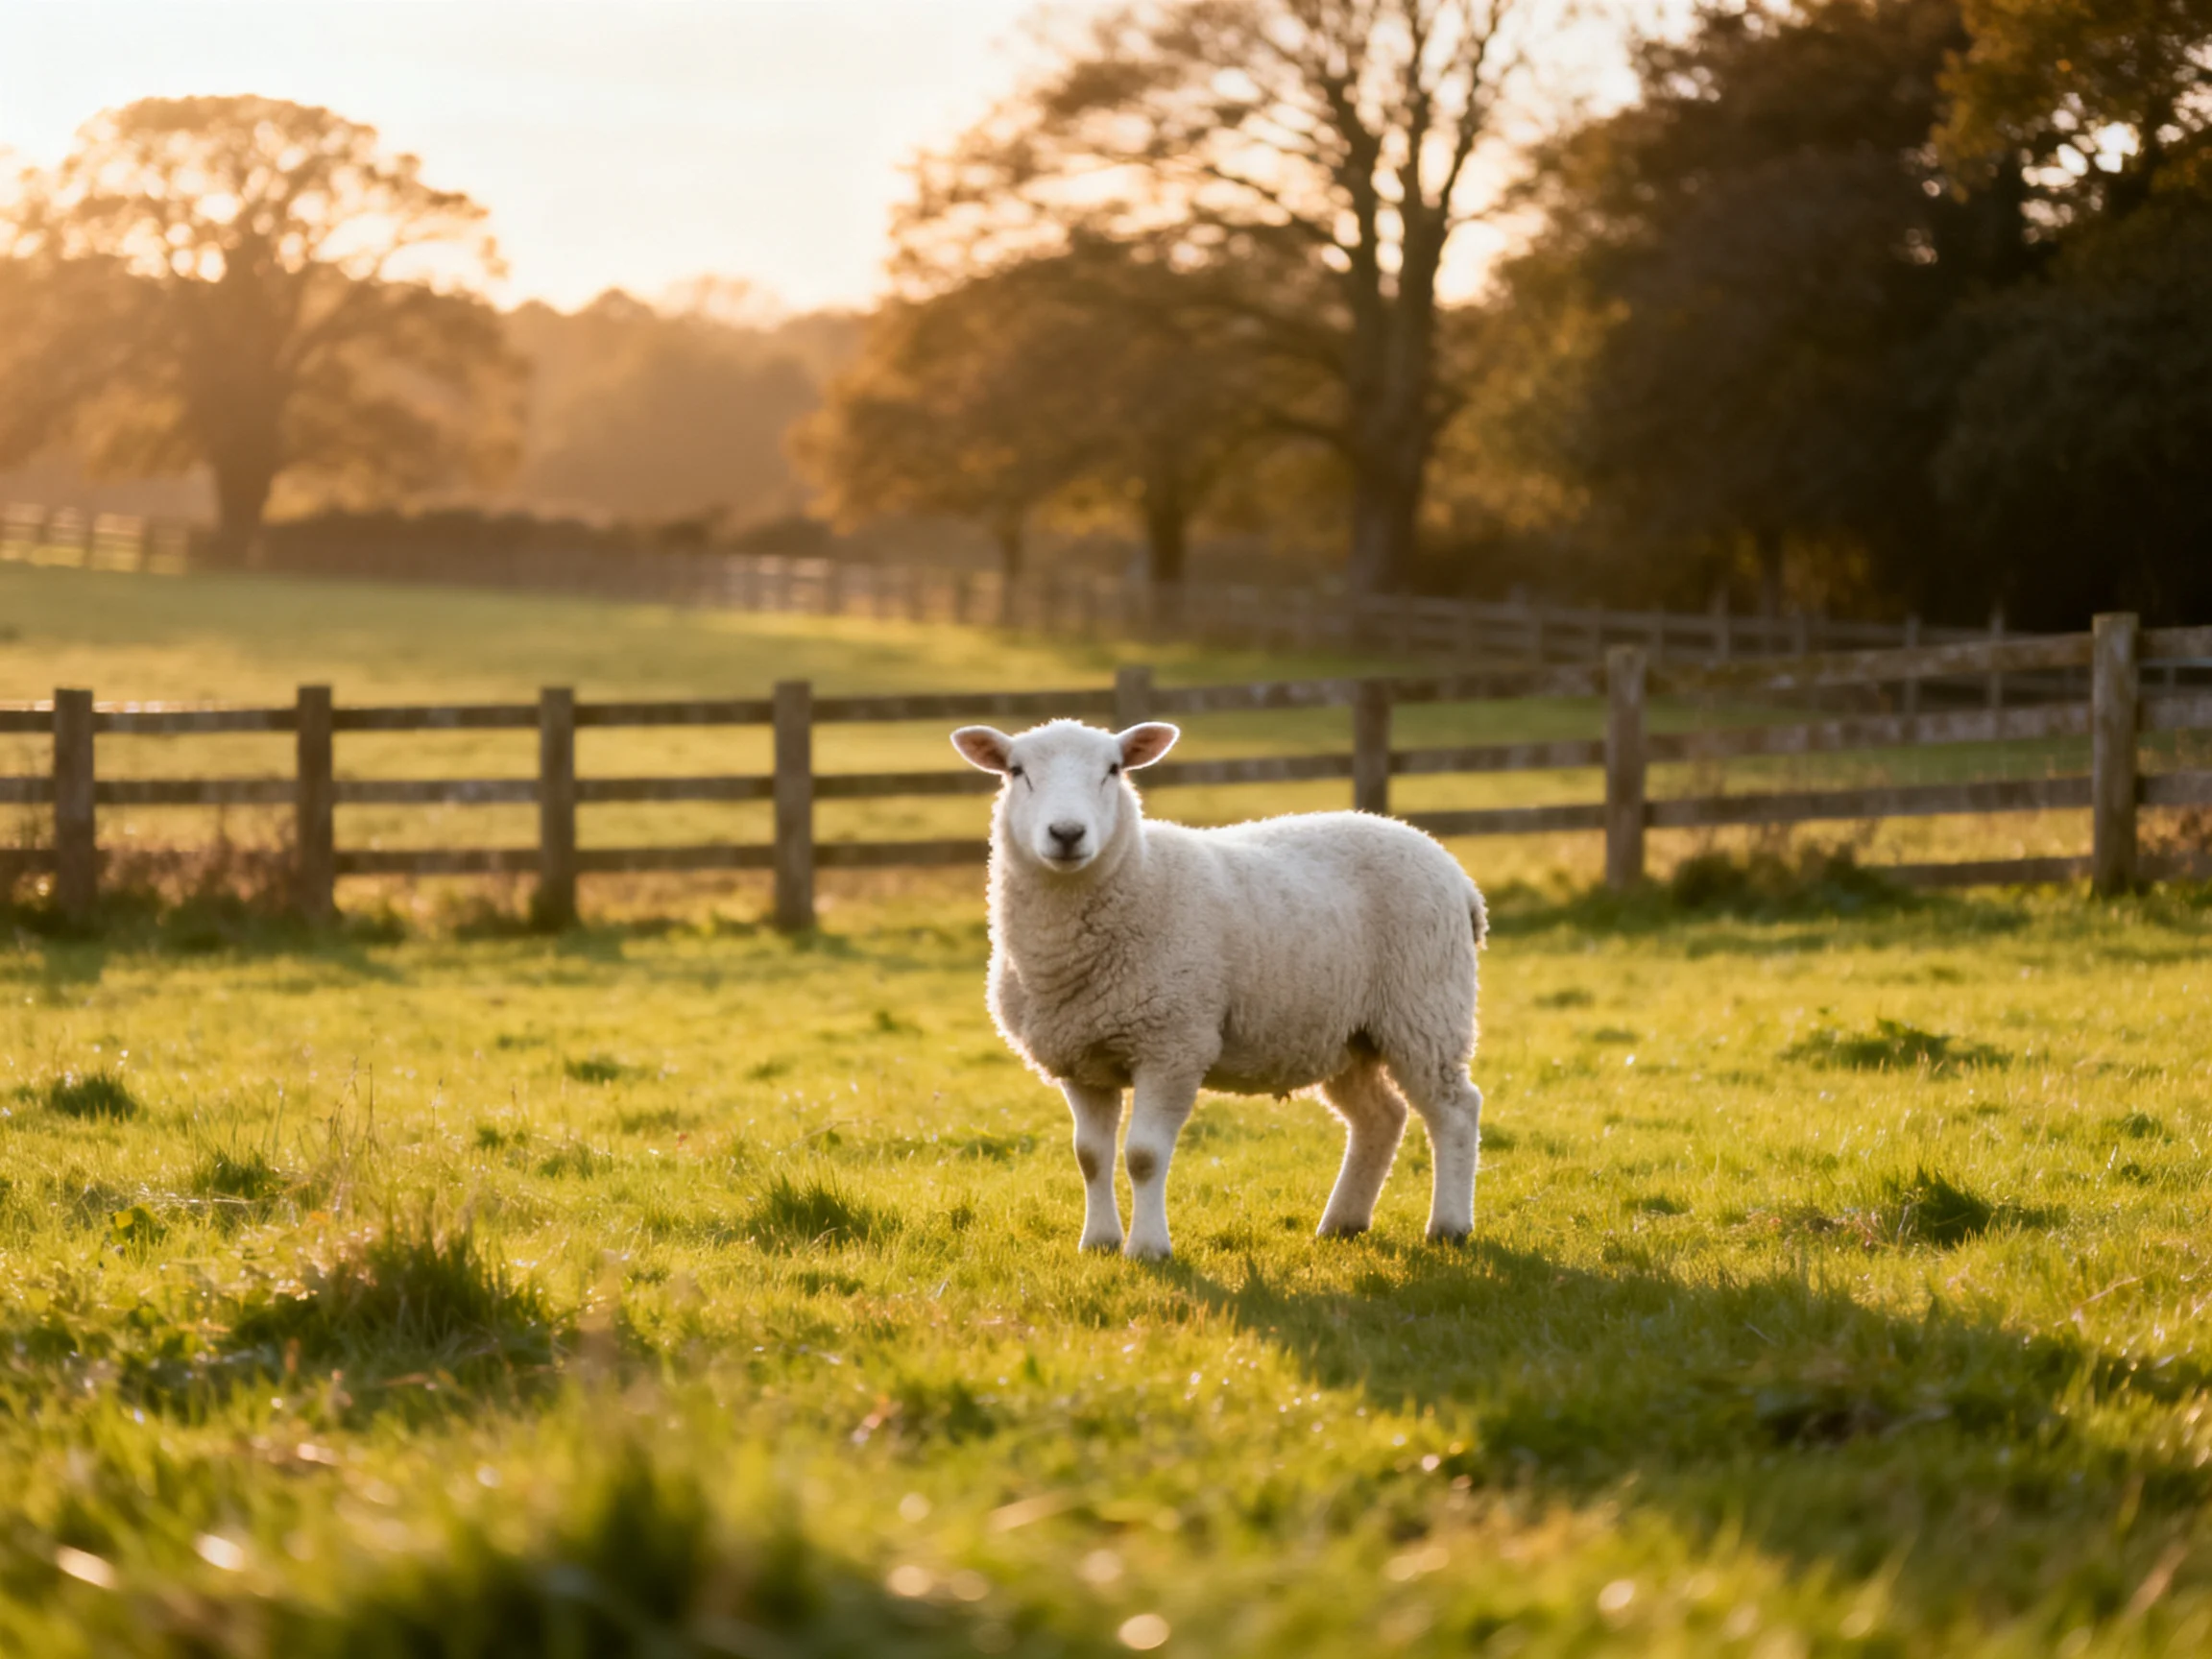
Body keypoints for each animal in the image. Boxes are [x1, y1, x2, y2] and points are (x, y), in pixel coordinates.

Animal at [950, 717, 1487, 1260]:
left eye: (1114, 770)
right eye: (1017, 771)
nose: (1066, 833)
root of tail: (1455, 873)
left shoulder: (1173, 1046)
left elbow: (1143, 1155)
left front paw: (1148, 1249)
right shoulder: (1083, 1059)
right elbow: (1090, 1156)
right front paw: (1099, 1241)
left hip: (1425, 1006)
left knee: (1455, 1110)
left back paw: (1449, 1225)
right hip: (1345, 1033)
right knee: (1381, 1116)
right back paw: (1343, 1222)